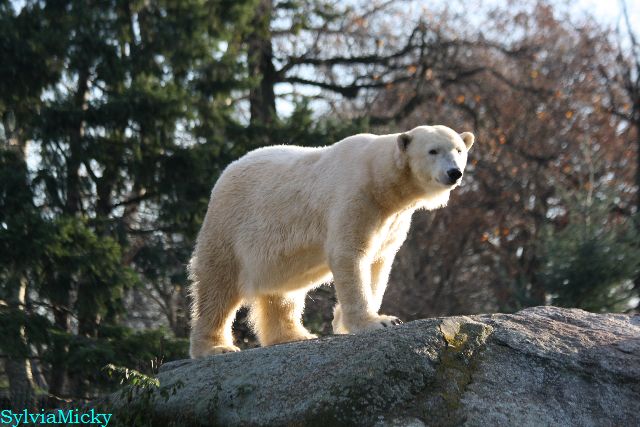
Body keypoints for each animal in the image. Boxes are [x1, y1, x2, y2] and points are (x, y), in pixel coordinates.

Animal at [188, 125, 474, 358]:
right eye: (433, 151)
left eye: (459, 150)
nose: (455, 173)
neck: (381, 181)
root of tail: (225, 174)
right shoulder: (355, 197)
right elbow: (350, 254)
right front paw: (377, 322)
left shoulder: (392, 220)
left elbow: (379, 264)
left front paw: (347, 321)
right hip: (230, 225)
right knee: (218, 284)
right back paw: (216, 346)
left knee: (282, 292)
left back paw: (294, 335)